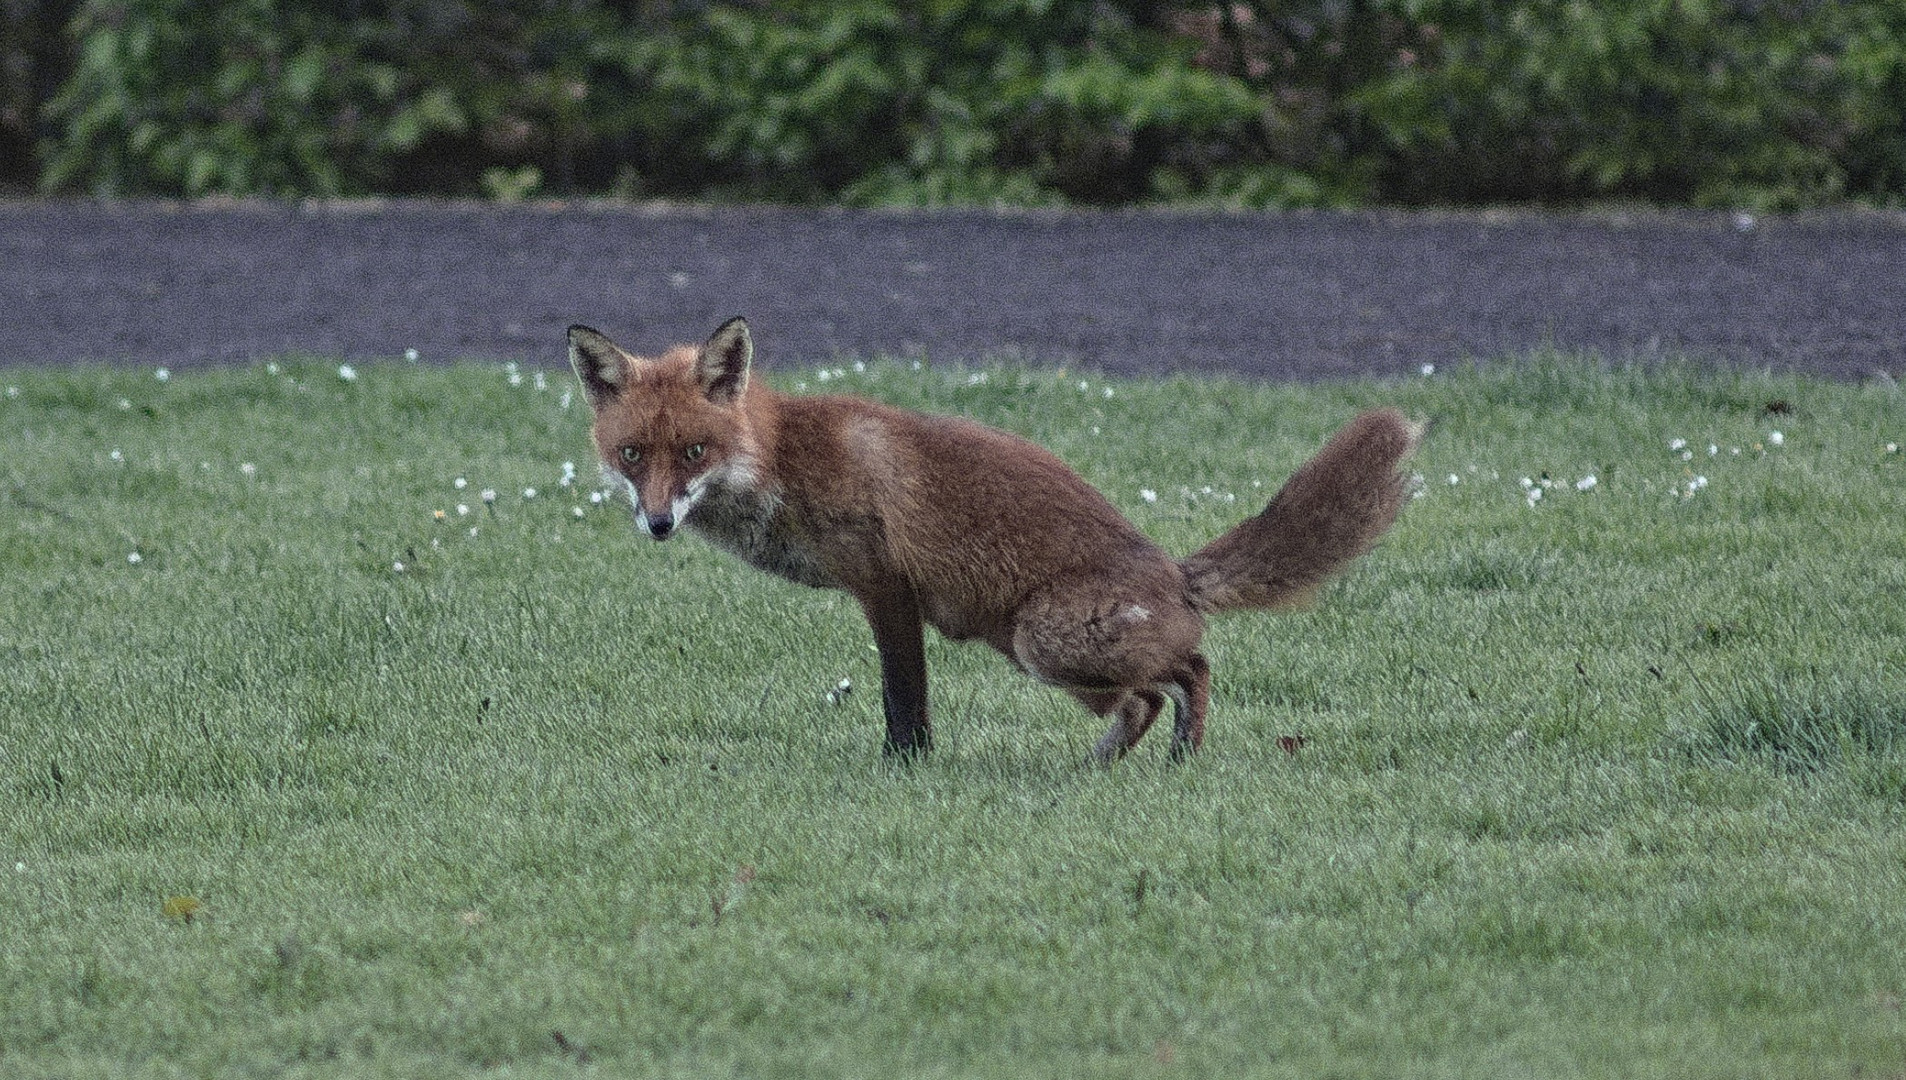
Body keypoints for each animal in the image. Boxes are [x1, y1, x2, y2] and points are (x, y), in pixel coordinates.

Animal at [564, 316, 1418, 765]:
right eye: (633, 454)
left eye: (694, 452)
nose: (658, 523)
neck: (784, 461)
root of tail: (1175, 574)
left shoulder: (887, 588)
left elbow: (902, 700)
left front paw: (904, 771)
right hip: (1035, 647)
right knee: (1159, 688)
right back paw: (1124, 763)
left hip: (1044, 641)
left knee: (1184, 671)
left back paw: (1157, 758)